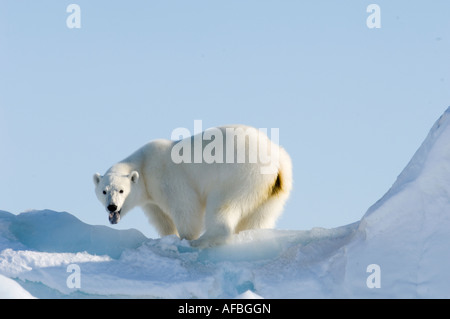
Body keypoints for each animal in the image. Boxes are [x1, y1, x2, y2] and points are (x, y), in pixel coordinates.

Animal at [93, 126, 294, 249]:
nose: (112, 207)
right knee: (260, 216)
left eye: (121, 190)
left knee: (222, 205)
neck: (144, 164)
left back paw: (204, 241)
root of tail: (277, 160)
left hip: (240, 175)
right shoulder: (150, 198)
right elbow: (161, 218)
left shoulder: (168, 177)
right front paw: (168, 235)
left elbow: (186, 207)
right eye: (104, 191)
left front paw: (186, 238)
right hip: (272, 190)